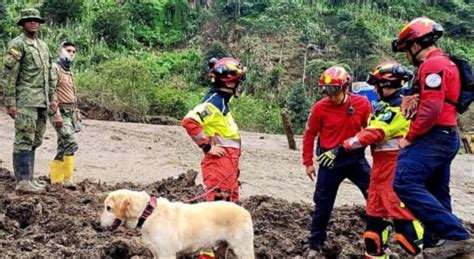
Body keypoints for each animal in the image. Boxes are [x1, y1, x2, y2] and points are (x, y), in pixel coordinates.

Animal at [100, 190, 256, 258]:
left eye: (108, 208)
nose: (97, 223)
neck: (149, 213)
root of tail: (246, 211)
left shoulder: (167, 254)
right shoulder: (156, 253)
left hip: (243, 249)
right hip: (220, 249)